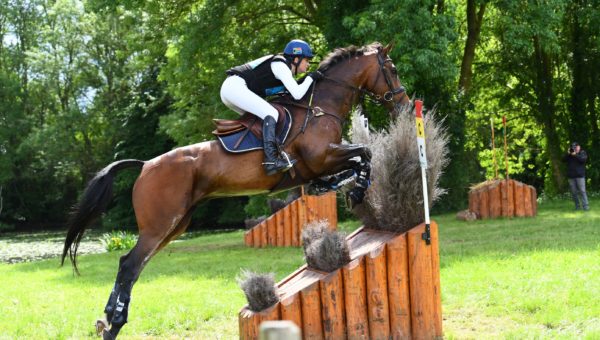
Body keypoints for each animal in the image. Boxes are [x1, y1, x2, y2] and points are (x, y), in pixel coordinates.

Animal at [62, 41, 408, 338]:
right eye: (391, 68)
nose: (404, 104)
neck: (320, 107)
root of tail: (146, 164)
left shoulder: (325, 161)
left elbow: (359, 159)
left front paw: (342, 186)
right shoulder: (321, 158)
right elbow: (365, 154)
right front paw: (356, 191)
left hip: (175, 225)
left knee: (130, 265)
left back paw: (108, 319)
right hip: (160, 224)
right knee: (131, 264)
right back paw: (115, 323)